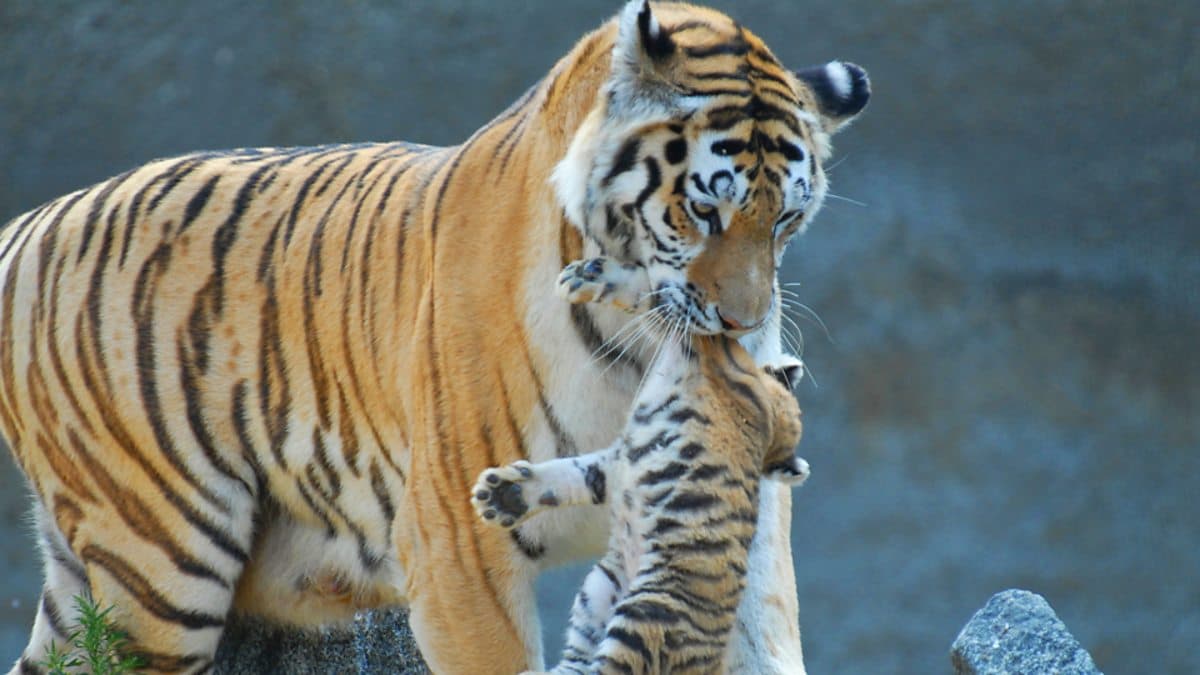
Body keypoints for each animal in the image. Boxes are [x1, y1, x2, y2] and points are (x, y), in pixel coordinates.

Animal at [472, 255, 809, 674]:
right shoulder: (618, 461)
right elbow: (571, 474)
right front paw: (505, 495)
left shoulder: (701, 346)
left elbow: (662, 303)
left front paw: (594, 276)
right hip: (599, 593)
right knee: (577, 663)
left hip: (647, 614)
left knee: (611, 666)